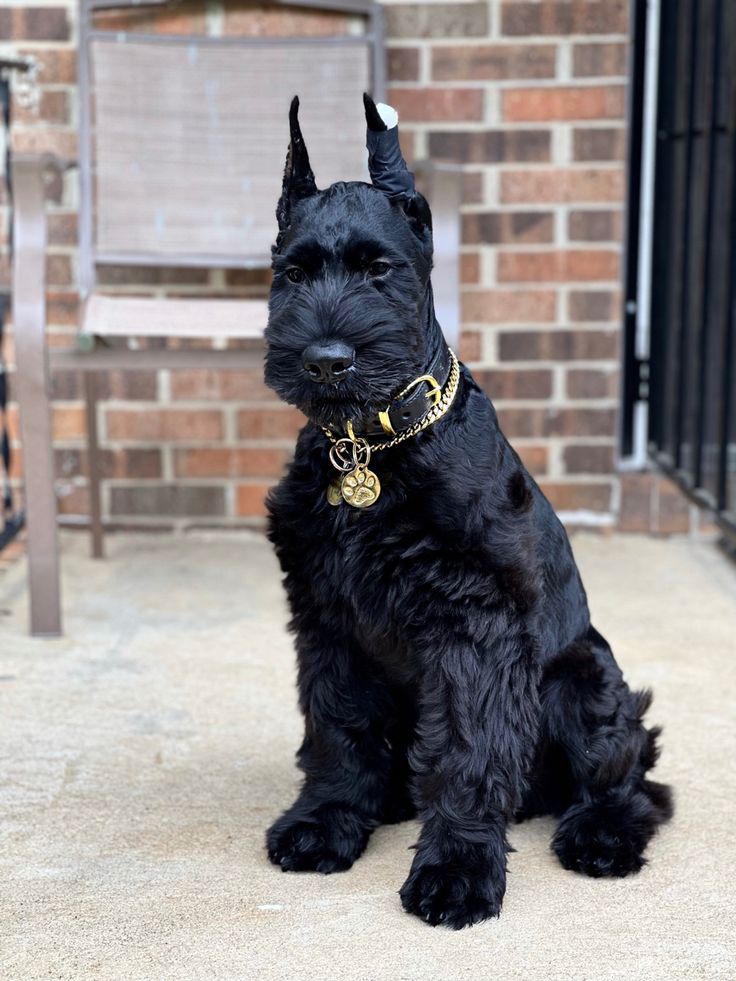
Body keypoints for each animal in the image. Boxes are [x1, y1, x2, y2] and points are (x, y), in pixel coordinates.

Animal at [264, 95, 672, 932]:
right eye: (293, 273)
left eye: (379, 269)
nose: (325, 360)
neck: (373, 447)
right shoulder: (326, 617)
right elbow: (336, 725)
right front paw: (327, 819)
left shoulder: (472, 626)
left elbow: (467, 750)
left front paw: (456, 867)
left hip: (584, 680)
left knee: (630, 779)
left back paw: (602, 834)